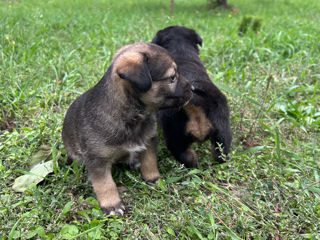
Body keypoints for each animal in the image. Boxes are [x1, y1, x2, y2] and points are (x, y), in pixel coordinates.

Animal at [62, 42, 192, 215]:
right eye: (172, 77)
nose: (193, 88)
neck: (133, 117)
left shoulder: (149, 141)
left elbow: (150, 161)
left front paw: (153, 178)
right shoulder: (97, 159)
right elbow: (105, 183)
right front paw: (112, 204)